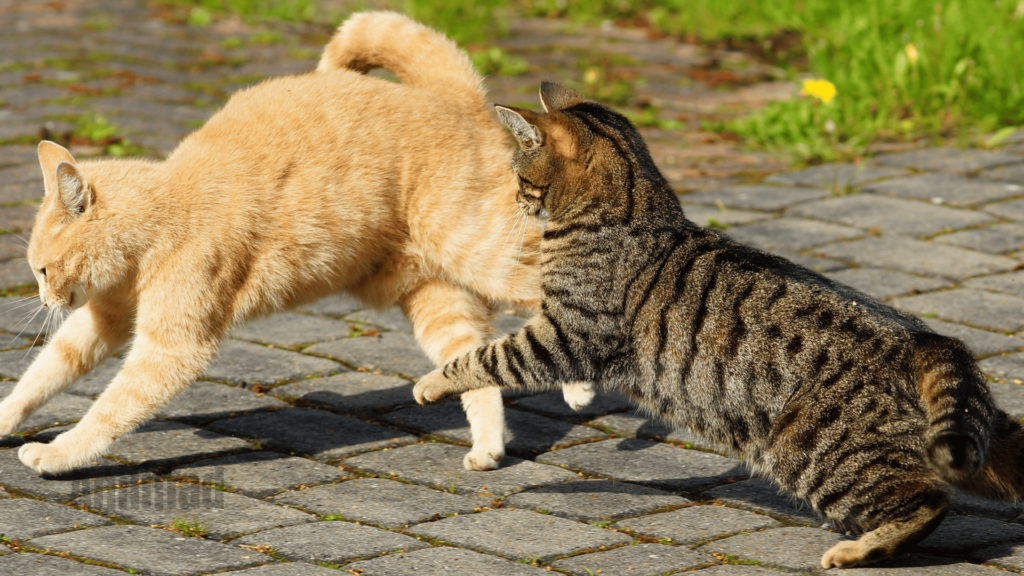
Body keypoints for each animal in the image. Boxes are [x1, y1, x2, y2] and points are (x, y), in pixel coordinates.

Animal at [0, 11, 593, 473]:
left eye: (42, 270)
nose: (44, 300)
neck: (164, 211)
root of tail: (454, 97)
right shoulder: (104, 319)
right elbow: (45, 373)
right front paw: (6, 419)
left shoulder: (172, 347)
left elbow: (110, 409)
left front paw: (59, 453)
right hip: (434, 296)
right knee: (473, 360)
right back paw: (489, 449)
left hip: (482, 251)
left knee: (561, 291)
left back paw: (578, 386)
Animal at [413, 83, 1024, 565]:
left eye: (520, 174)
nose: (514, 199)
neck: (633, 211)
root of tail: (923, 337)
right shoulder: (560, 328)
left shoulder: (567, 332)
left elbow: (485, 356)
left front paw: (432, 383)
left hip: (813, 451)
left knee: (929, 499)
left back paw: (860, 550)